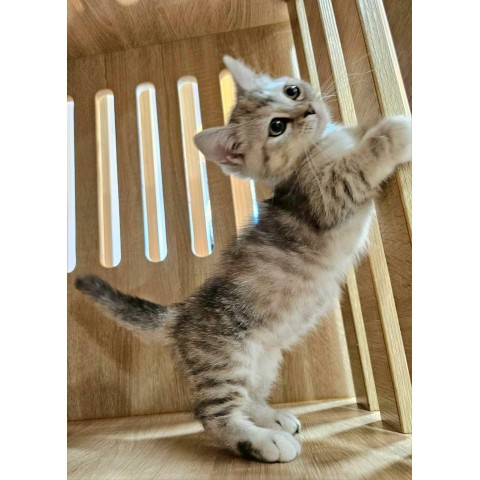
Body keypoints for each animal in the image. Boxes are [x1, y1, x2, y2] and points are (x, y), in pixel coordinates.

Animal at [75, 56, 411, 463]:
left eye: (292, 90)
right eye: (277, 127)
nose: (308, 109)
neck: (318, 148)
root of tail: (182, 313)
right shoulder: (327, 194)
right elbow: (360, 161)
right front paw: (395, 131)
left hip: (264, 359)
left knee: (249, 394)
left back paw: (270, 417)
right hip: (227, 357)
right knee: (212, 413)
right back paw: (262, 440)